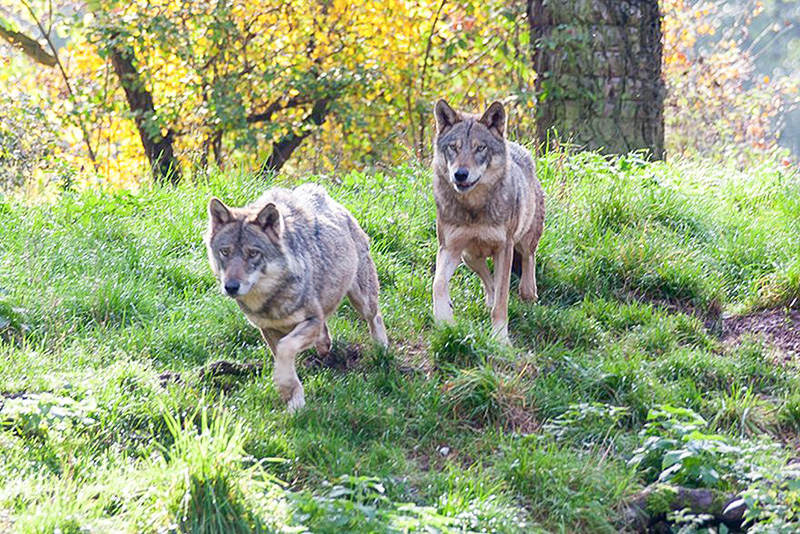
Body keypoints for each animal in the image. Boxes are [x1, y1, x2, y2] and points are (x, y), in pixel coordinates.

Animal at [205, 185, 390, 414]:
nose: (231, 286)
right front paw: (293, 399)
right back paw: (325, 346)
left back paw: (382, 349)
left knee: (375, 316)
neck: (271, 301)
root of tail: (321, 192)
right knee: (325, 335)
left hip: (362, 301)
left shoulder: (311, 320)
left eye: (253, 253)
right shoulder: (268, 329)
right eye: (225, 252)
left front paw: (290, 395)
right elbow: (283, 359)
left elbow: (285, 352)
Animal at [432, 99, 544, 344]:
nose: (460, 174)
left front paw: (501, 340)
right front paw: (445, 320)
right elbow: (438, 284)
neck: (474, 210)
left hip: (524, 240)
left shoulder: (504, 248)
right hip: (469, 256)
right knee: (488, 278)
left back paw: (529, 292)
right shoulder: (450, 248)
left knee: (528, 260)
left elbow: (502, 301)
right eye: (453, 147)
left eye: (480, 148)